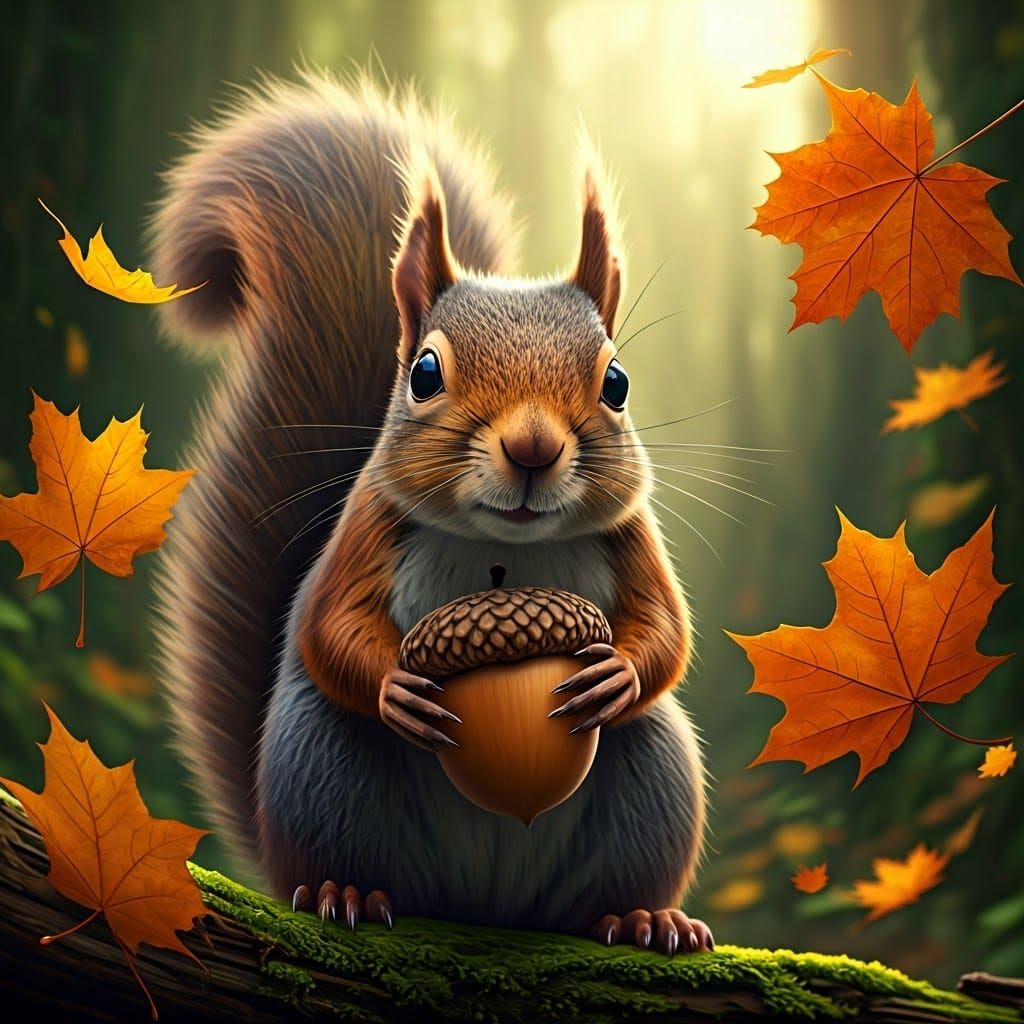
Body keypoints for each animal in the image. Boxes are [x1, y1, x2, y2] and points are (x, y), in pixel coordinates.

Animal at [151, 71, 710, 955]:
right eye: (423, 373)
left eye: (617, 384)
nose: (531, 448)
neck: (506, 547)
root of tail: (485, 905)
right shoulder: (367, 528)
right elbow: (328, 627)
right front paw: (396, 689)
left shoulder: (633, 537)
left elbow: (668, 631)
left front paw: (617, 672)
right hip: (323, 766)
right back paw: (342, 890)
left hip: (655, 779)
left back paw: (643, 916)